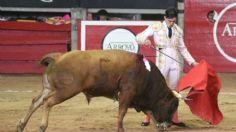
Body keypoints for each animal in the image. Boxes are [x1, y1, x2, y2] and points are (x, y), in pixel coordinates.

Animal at [16, 49, 179, 132]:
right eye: (171, 106)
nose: (169, 124)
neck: (145, 73)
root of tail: (58, 57)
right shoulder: (127, 93)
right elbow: (122, 112)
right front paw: (120, 129)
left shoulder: (137, 98)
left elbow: (149, 112)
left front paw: (158, 126)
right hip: (67, 90)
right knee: (48, 102)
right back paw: (42, 126)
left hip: (49, 87)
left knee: (36, 101)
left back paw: (21, 125)